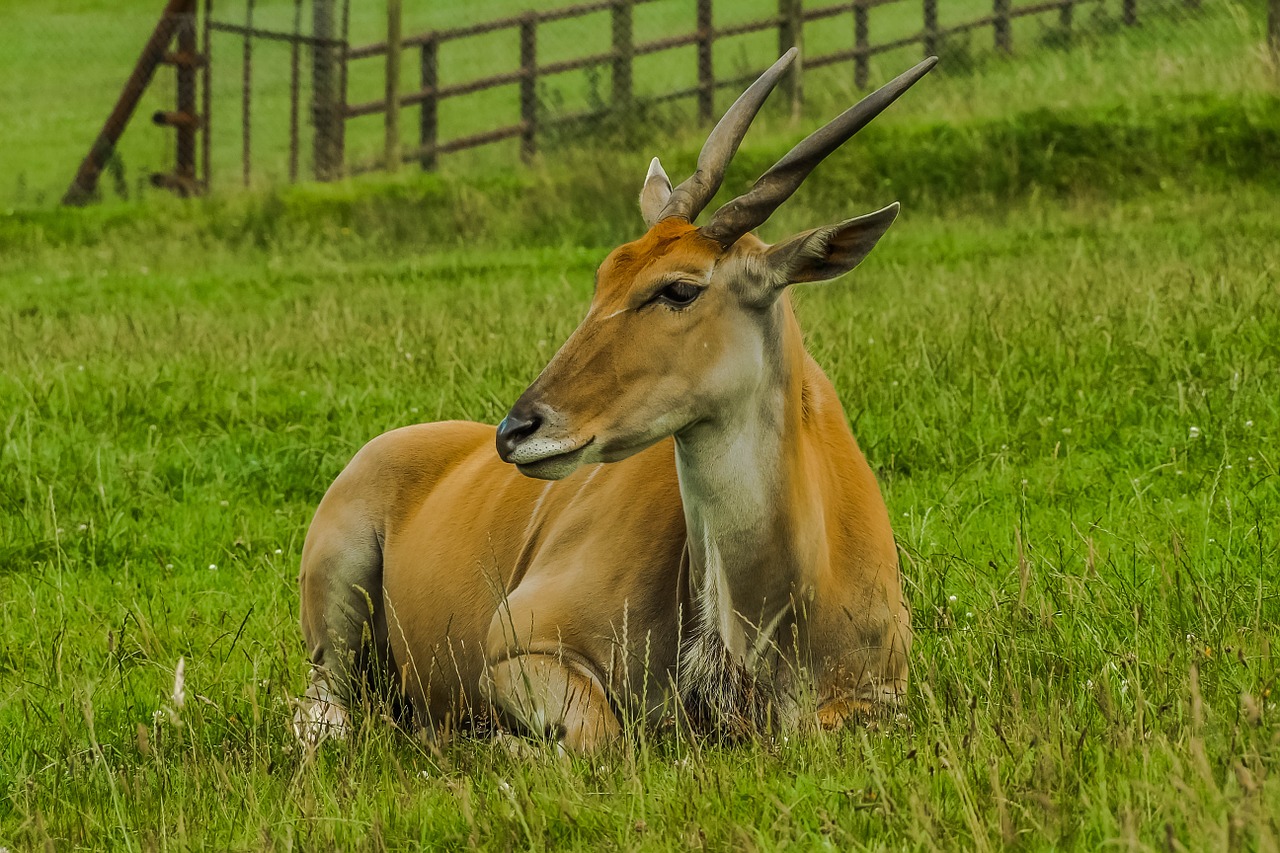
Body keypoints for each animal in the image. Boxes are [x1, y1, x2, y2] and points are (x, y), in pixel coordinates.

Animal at [294, 49, 936, 747]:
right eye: (604, 274)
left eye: (679, 288)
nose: (517, 430)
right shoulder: (516, 646)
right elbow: (605, 741)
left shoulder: (884, 699)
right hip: (335, 618)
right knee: (322, 709)